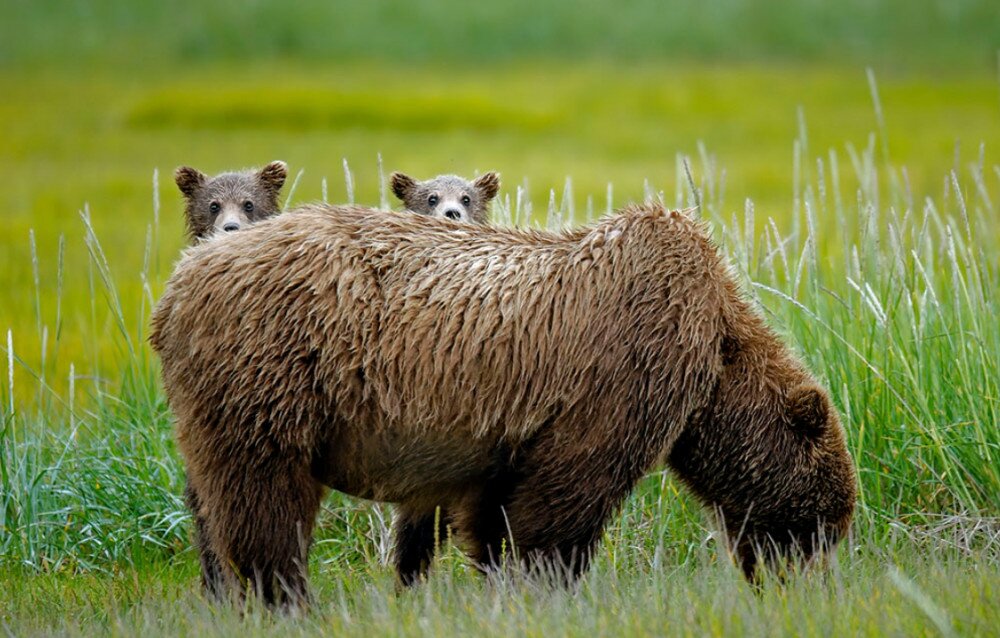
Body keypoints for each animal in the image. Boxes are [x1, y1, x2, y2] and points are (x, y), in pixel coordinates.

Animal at [150, 204, 860, 608]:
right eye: (822, 522)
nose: (810, 589)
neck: (715, 351)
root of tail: (177, 287)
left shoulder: (504, 435)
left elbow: (491, 512)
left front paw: (494, 583)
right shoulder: (619, 371)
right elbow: (566, 496)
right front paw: (548, 583)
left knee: (212, 498)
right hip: (274, 372)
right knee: (264, 495)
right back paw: (289, 597)